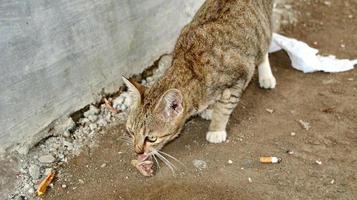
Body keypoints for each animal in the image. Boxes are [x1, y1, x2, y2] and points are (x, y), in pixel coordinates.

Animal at [122, 0, 276, 172]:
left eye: (151, 138)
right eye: (131, 131)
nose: (137, 151)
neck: (188, 66)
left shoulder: (238, 78)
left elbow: (224, 108)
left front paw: (216, 129)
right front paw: (209, 109)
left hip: (263, 34)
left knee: (265, 48)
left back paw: (266, 76)